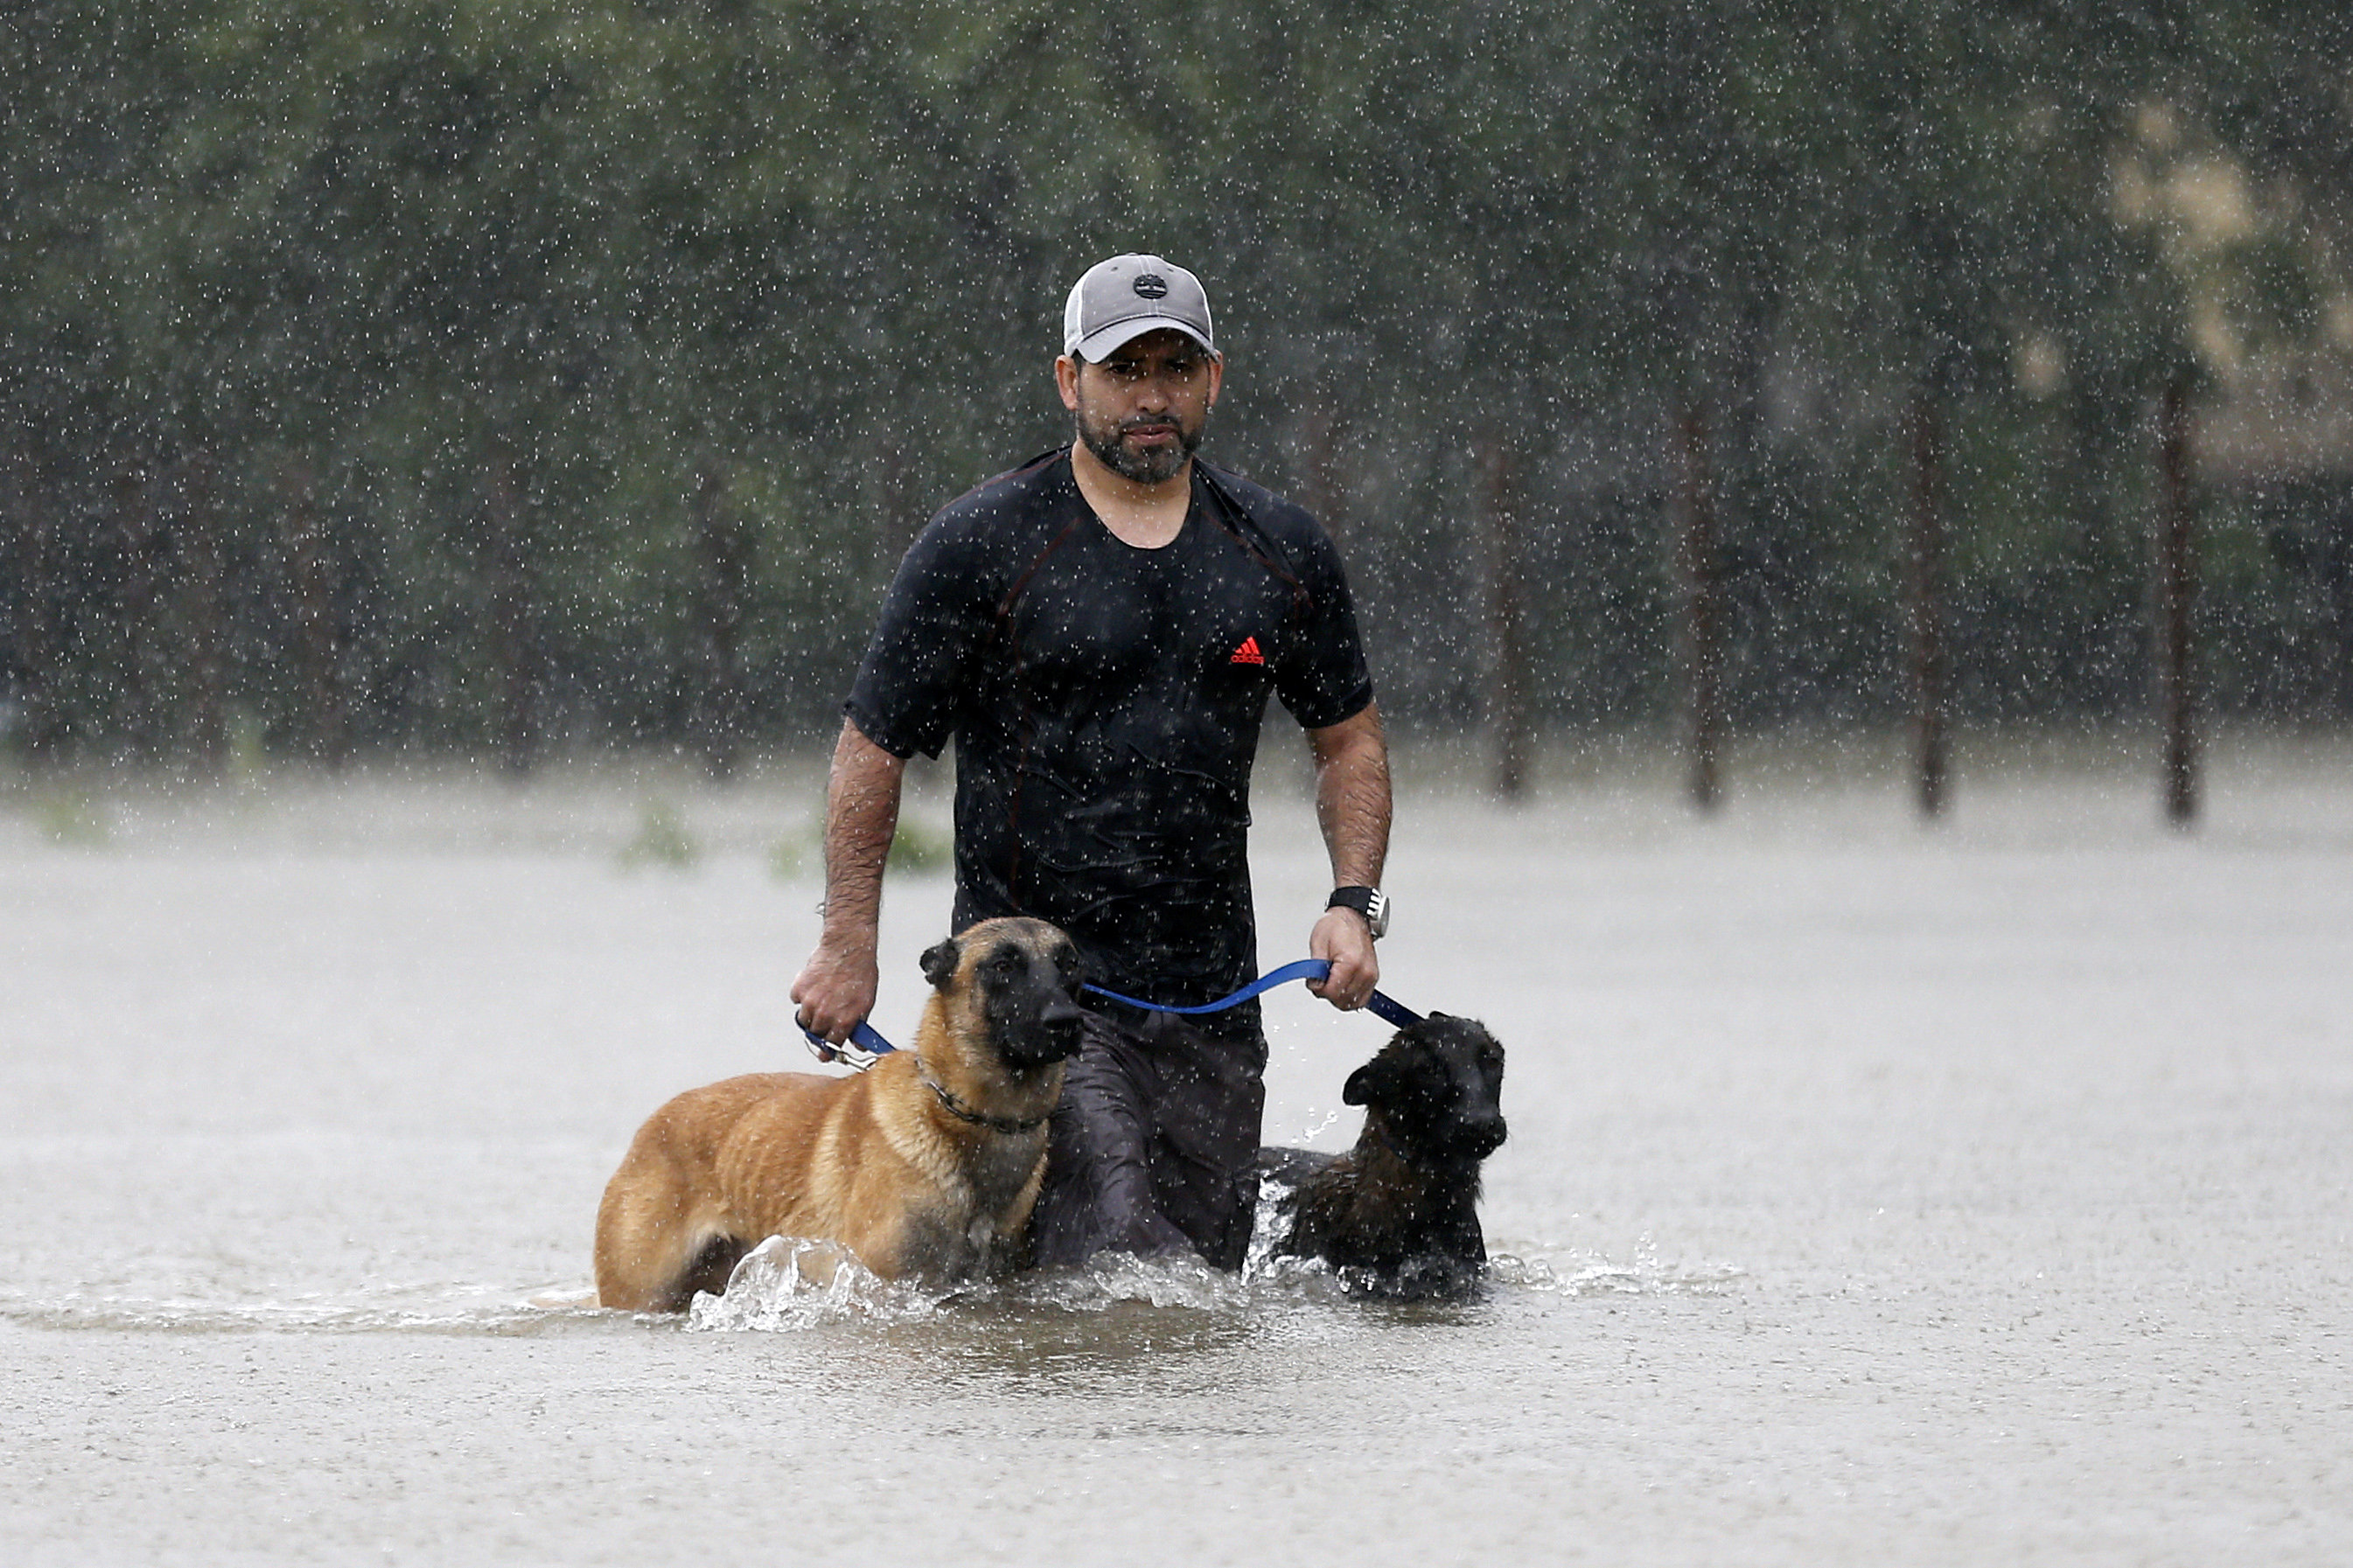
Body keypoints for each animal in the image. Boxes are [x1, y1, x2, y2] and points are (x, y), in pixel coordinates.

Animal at [597, 921, 1092, 1316]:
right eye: (1003, 965)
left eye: (1069, 965)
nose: (1067, 1020)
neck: (959, 1115)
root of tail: (648, 1128)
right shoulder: (881, 1283)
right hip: (640, 1293)